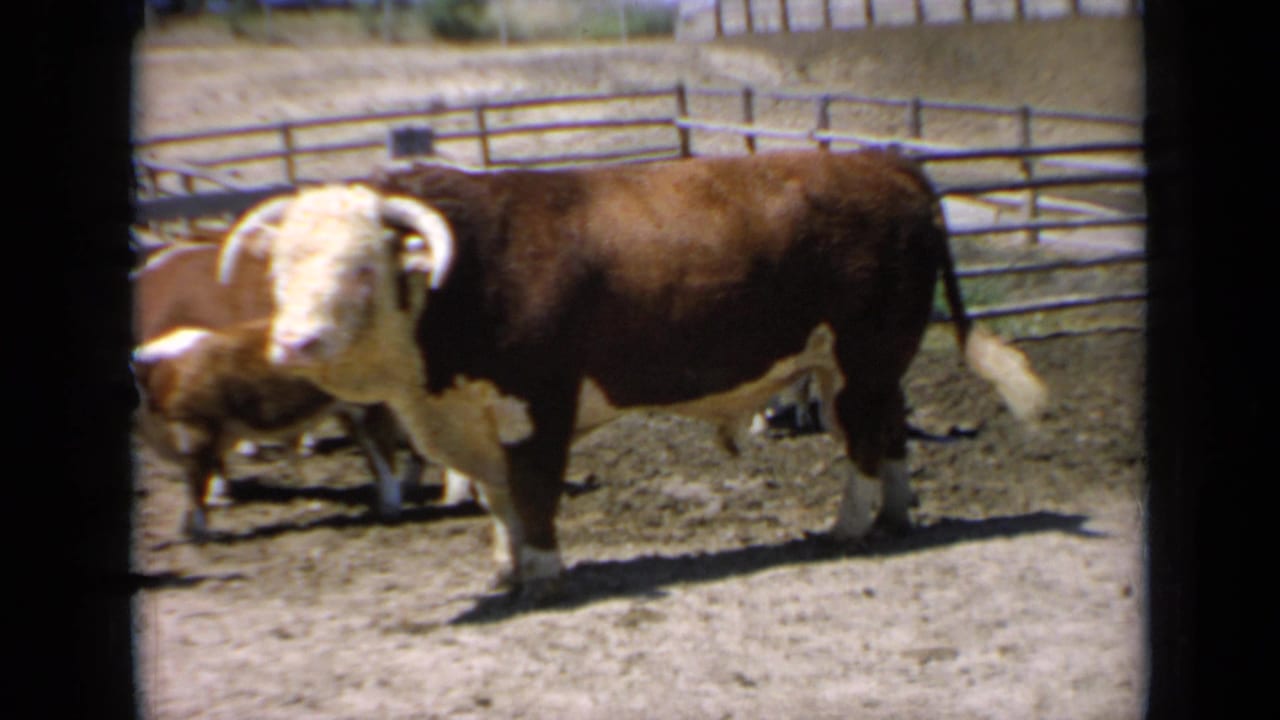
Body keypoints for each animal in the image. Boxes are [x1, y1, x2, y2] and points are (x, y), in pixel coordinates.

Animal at [218, 148, 1048, 600]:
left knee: (865, 445)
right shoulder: (473, 418)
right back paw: (896, 516)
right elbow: (496, 500)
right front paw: (505, 569)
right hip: (869, 360)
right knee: (890, 431)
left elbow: (533, 495)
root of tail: (883, 161)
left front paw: (542, 574)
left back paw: (848, 526)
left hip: (862, 355)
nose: (295, 342)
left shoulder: (537, 405)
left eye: (361, 267)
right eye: (280, 269)